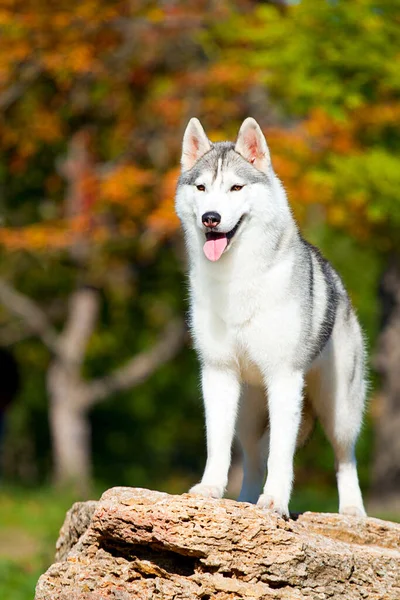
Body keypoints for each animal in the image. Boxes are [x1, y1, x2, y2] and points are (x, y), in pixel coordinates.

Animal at [175, 118, 366, 520]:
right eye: (202, 188)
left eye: (236, 187)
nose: (211, 218)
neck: (237, 280)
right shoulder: (217, 373)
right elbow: (217, 445)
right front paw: (210, 490)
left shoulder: (284, 378)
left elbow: (281, 454)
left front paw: (275, 501)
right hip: (248, 414)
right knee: (251, 458)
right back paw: (246, 499)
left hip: (339, 411)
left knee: (344, 458)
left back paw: (352, 511)